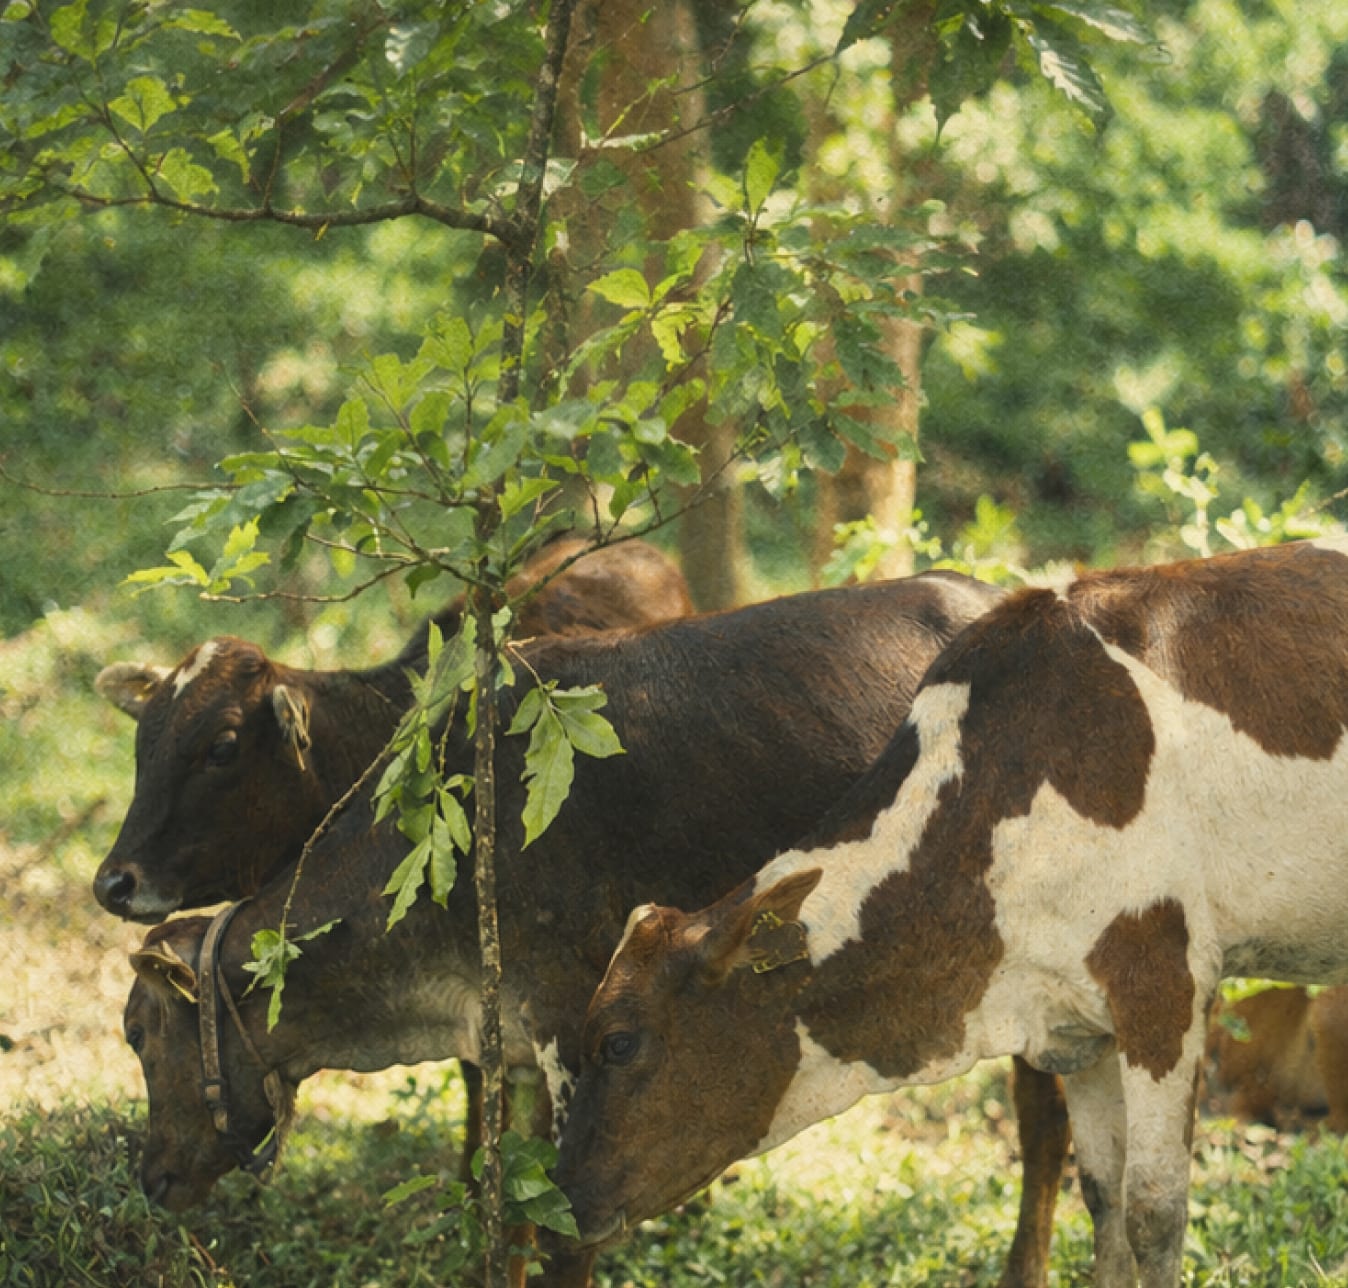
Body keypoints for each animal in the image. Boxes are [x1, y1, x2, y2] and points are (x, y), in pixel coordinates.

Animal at [118, 574, 1071, 1288]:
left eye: (137, 1031)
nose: (152, 1176)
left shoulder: (579, 1037)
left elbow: (566, 1231)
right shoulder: (506, 1043)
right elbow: (501, 1205)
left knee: (1043, 1124)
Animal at [554, 537, 1348, 1288]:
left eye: (618, 1043)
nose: (564, 1198)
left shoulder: (1163, 982)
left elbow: (1153, 1211)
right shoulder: (1081, 1025)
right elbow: (1104, 1197)